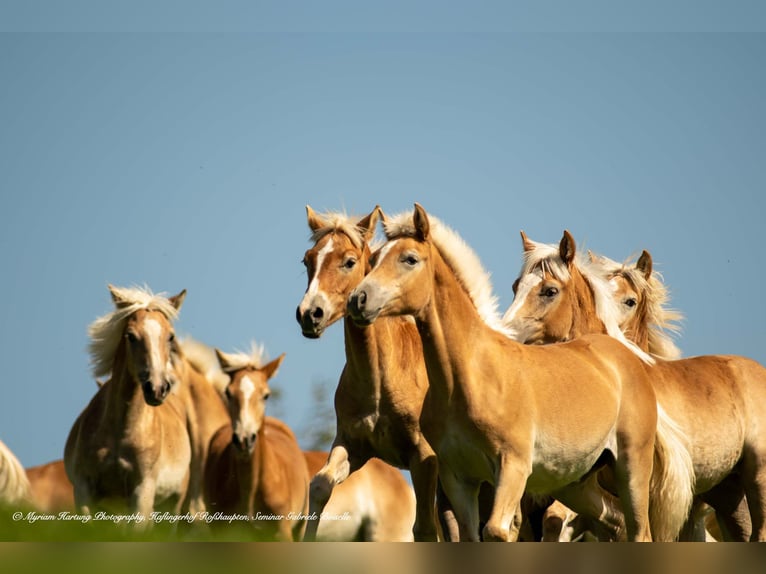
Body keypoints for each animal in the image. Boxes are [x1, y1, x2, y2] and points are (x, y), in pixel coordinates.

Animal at [64, 286, 194, 520]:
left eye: (170, 337)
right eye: (131, 336)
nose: (157, 388)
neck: (120, 433)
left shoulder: (143, 491)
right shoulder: (83, 490)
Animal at [296, 207, 440, 544]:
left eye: (349, 261)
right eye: (307, 260)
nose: (309, 314)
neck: (381, 381)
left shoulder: (423, 457)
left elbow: (425, 529)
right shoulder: (351, 444)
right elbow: (320, 486)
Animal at [348, 206, 696, 544]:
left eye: (409, 258)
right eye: (374, 259)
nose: (358, 299)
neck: (470, 375)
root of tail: (625, 357)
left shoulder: (513, 468)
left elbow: (497, 532)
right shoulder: (459, 479)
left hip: (631, 468)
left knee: (639, 531)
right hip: (576, 484)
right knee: (617, 524)